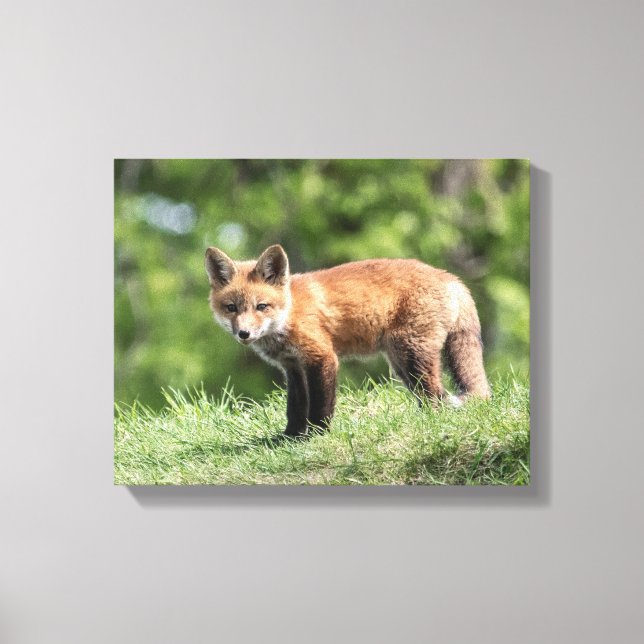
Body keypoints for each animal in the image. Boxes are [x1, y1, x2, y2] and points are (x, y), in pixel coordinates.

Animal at [205, 244, 490, 437]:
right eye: (231, 308)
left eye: (261, 306)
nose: (244, 334)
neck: (290, 313)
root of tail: (450, 277)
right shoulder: (293, 367)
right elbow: (295, 407)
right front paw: (289, 437)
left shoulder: (321, 357)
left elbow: (320, 405)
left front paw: (317, 435)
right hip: (401, 363)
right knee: (431, 394)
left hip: (411, 355)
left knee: (436, 396)